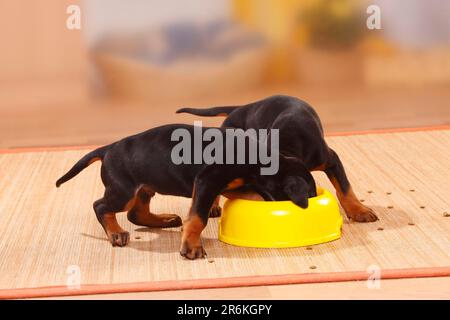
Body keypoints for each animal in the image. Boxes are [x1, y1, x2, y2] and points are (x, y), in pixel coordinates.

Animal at [55, 124, 316, 258]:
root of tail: (107, 148)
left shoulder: (232, 185)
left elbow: (252, 194)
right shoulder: (208, 181)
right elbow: (198, 218)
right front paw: (191, 248)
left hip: (146, 186)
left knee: (135, 214)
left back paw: (165, 220)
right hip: (123, 192)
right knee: (101, 206)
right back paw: (116, 234)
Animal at [178, 94, 378, 222]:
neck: (285, 149)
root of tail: (241, 108)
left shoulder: (331, 159)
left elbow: (344, 188)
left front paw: (359, 211)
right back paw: (212, 206)